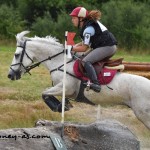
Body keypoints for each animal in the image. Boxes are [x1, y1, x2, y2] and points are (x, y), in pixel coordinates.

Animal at [8, 31, 150, 129]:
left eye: (16, 55)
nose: (10, 75)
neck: (60, 62)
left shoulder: (66, 88)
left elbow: (44, 93)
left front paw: (59, 107)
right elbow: (46, 93)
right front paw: (63, 105)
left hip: (143, 114)